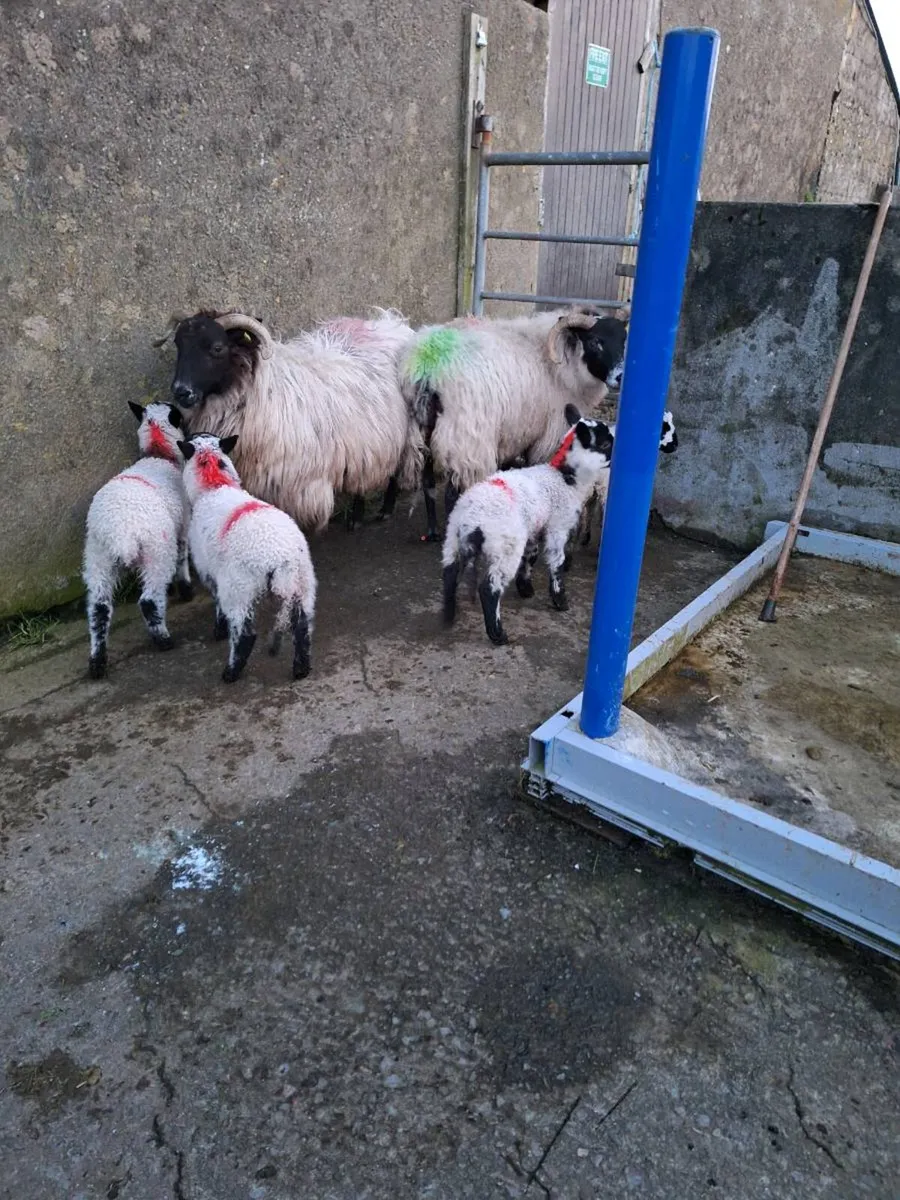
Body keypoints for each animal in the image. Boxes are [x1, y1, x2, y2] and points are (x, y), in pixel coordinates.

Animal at [83, 402, 191, 679]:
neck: (159, 455)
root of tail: (121, 531)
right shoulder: (183, 527)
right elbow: (183, 557)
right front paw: (185, 590)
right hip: (157, 550)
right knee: (149, 600)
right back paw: (163, 640)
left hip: (97, 557)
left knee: (99, 609)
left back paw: (97, 663)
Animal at [154, 308, 423, 534]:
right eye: (179, 344)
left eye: (217, 348)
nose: (181, 391)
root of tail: (394, 323)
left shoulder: (298, 482)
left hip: (405, 433)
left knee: (395, 471)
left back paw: (383, 511)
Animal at [178, 433, 317, 683]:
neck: (214, 486)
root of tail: (281, 557)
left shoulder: (208, 569)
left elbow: (217, 602)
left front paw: (219, 630)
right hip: (304, 582)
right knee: (302, 626)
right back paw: (301, 668)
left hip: (239, 587)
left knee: (245, 634)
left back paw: (231, 672)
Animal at [399, 308, 627, 541]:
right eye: (595, 342)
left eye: (624, 340)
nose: (621, 376)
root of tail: (429, 365)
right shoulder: (549, 435)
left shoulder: (515, 432)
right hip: (468, 439)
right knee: (453, 493)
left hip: (423, 430)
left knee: (428, 483)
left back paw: (433, 531)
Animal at [442, 404, 614, 646]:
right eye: (605, 444)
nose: (618, 456)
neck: (564, 478)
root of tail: (471, 519)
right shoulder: (557, 526)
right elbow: (557, 562)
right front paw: (560, 600)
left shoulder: (536, 526)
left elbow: (531, 557)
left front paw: (525, 588)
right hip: (506, 545)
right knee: (489, 588)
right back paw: (497, 634)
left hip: (451, 538)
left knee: (449, 575)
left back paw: (448, 616)